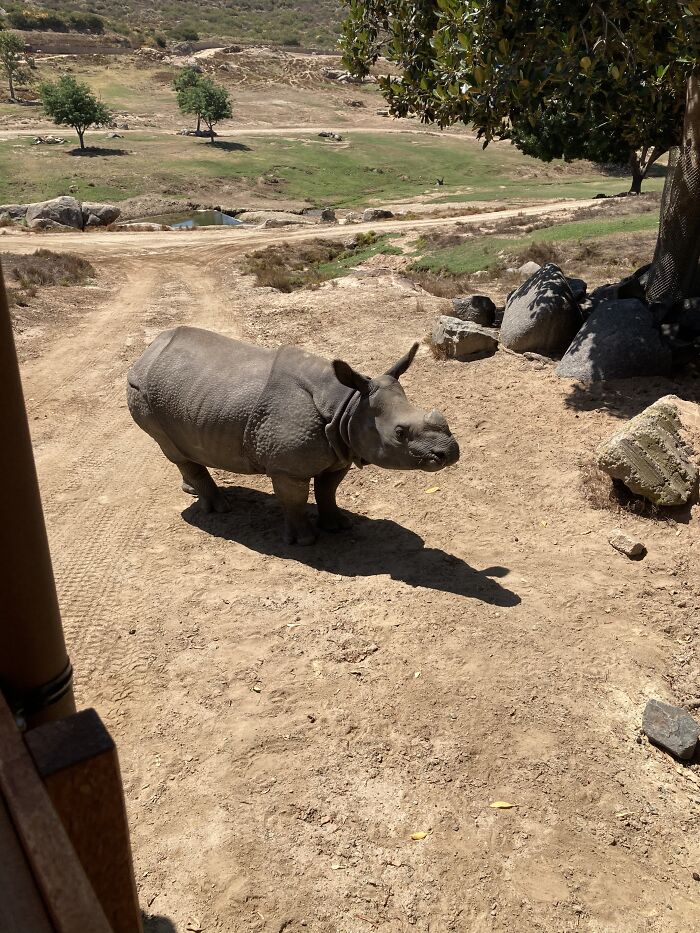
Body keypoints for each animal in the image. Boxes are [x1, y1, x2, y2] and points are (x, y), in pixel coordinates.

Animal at [127, 327, 459, 544]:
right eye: (400, 433)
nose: (450, 452)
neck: (347, 405)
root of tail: (145, 354)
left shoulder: (340, 450)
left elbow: (328, 490)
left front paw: (338, 526)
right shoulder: (287, 467)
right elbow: (295, 499)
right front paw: (305, 541)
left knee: (181, 451)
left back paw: (191, 490)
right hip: (141, 393)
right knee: (173, 449)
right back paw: (220, 507)